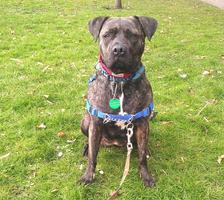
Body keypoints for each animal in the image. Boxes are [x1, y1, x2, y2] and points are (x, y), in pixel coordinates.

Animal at [80, 16, 158, 187]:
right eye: (107, 34)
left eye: (133, 35)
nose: (119, 50)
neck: (120, 80)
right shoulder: (96, 123)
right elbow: (93, 156)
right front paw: (88, 175)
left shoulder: (143, 123)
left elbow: (142, 157)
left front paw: (146, 175)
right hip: (85, 122)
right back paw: (86, 147)